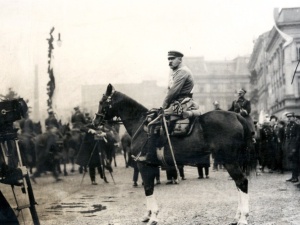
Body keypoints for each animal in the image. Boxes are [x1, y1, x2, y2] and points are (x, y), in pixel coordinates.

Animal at [95, 84, 254, 225]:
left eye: (102, 102)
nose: (96, 121)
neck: (141, 125)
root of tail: (237, 116)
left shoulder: (144, 164)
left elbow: (148, 188)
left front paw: (153, 217)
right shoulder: (149, 165)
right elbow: (148, 187)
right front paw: (148, 214)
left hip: (229, 160)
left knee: (242, 182)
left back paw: (243, 218)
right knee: (238, 184)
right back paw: (238, 215)